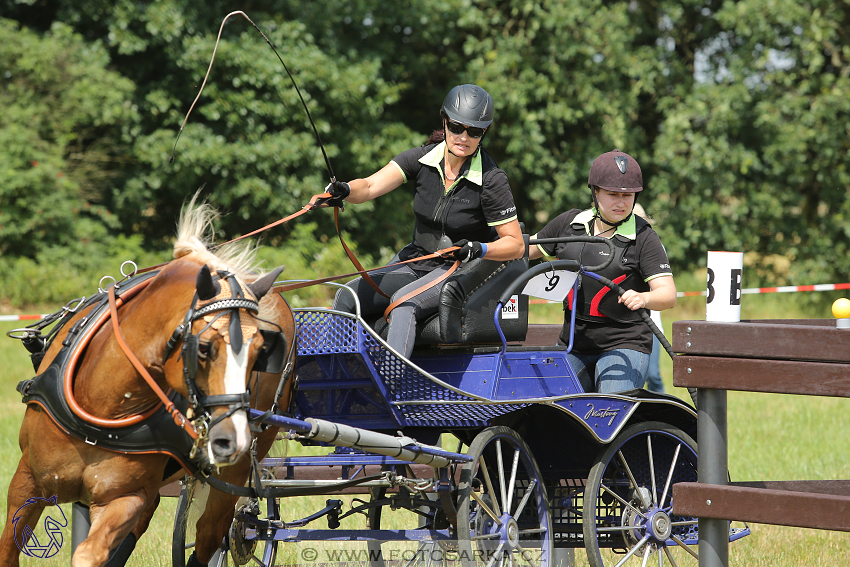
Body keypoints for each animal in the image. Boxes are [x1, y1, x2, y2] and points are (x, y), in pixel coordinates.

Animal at [0, 201, 296, 567]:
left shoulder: (124, 498)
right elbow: (9, 548)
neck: (105, 404)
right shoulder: (27, 483)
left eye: (259, 354)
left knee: (210, 534)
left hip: (235, 474)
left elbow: (88, 554)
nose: (233, 441)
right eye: (204, 347)